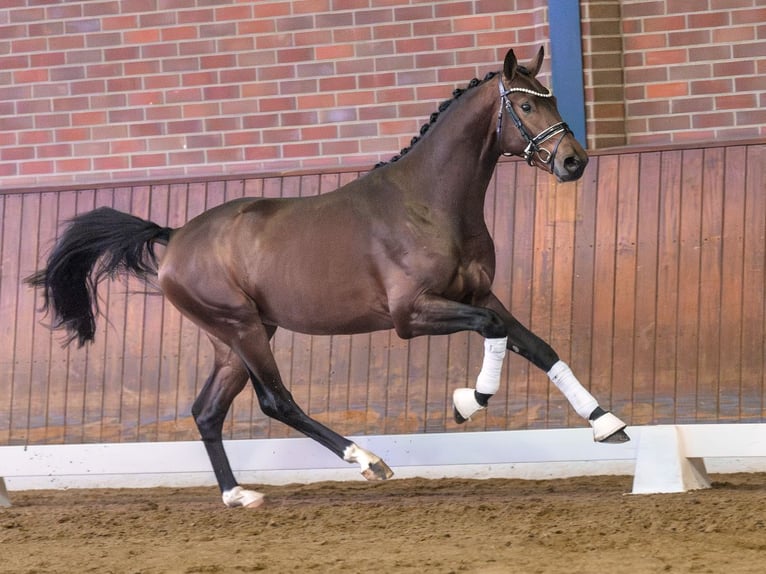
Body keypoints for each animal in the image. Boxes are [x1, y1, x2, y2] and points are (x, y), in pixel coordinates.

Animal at [28, 48, 632, 508]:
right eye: (526, 103)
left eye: (553, 98)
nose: (574, 162)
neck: (430, 203)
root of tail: (175, 236)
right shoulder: (412, 314)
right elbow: (492, 330)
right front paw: (469, 402)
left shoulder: (480, 293)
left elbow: (535, 344)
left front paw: (607, 424)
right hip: (242, 328)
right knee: (277, 402)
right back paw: (367, 461)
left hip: (237, 338)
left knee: (207, 411)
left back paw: (238, 495)